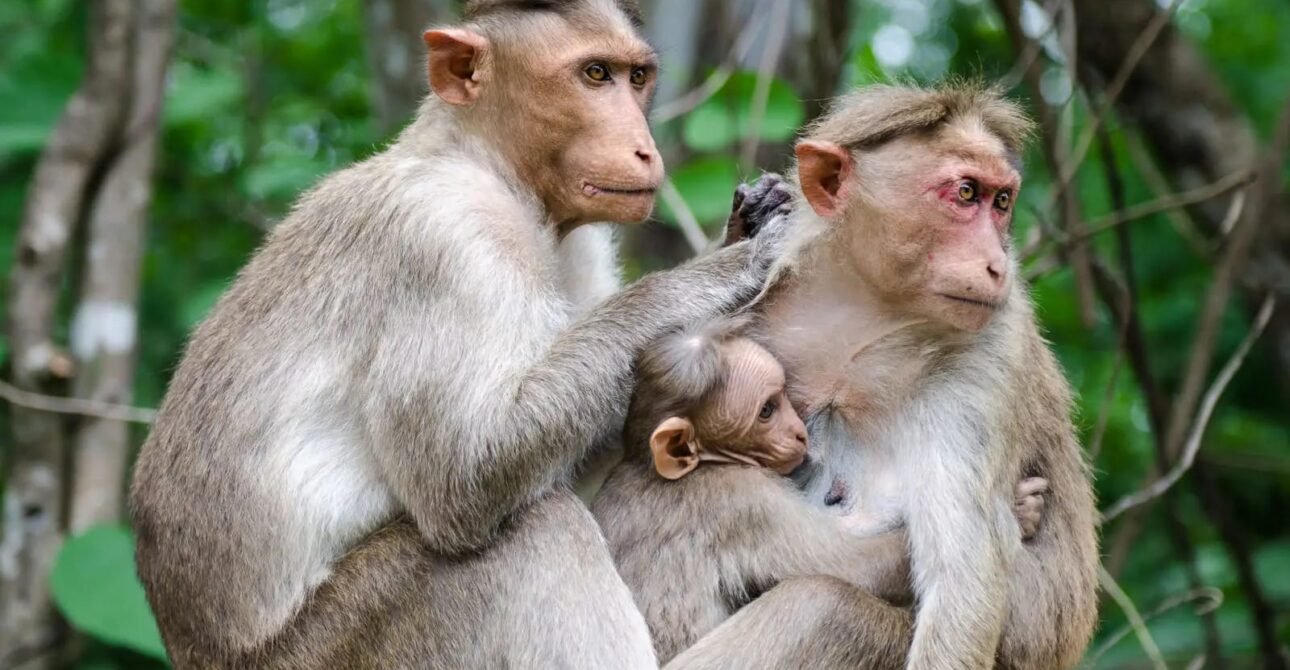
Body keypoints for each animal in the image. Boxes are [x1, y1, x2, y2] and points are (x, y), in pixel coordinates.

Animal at [128, 1, 797, 667]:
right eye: (594, 74)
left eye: (636, 78)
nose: (643, 148)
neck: (487, 167)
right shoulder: (446, 240)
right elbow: (462, 477)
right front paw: (720, 272)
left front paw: (750, 218)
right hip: (347, 647)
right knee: (533, 531)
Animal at [665, 83, 1099, 670]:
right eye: (966, 193)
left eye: (1001, 201)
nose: (996, 264)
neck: (860, 318)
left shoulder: (989, 352)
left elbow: (959, 586)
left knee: (820, 605)